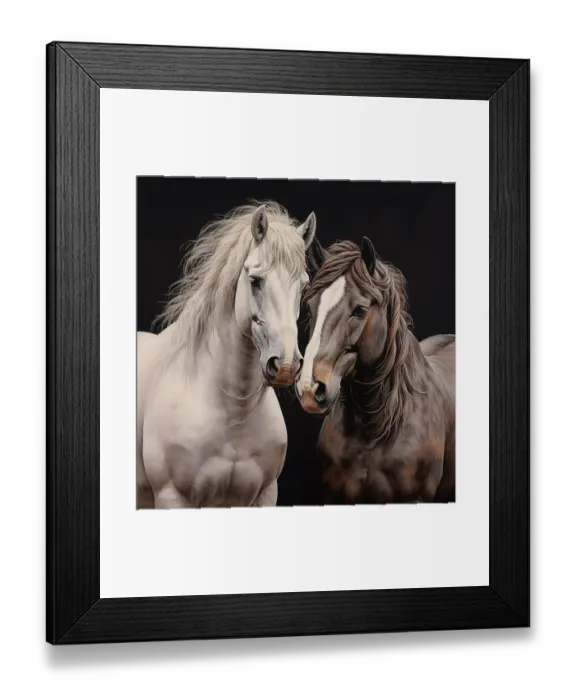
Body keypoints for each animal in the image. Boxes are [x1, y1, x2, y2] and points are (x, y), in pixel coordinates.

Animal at [137, 202, 317, 508]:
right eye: (255, 281)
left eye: (303, 287)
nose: (285, 366)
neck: (234, 415)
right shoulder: (172, 497)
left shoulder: (264, 496)